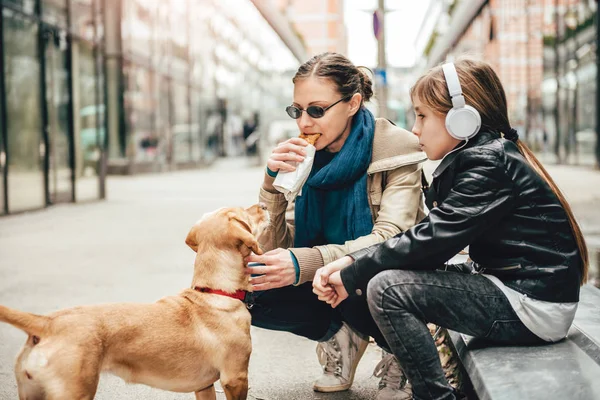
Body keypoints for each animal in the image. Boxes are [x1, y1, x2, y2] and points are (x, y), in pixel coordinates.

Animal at [0, 205, 270, 398]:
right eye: (245, 213)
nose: (265, 206)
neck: (214, 292)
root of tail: (48, 323)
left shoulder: (204, 386)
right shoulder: (235, 378)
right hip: (75, 391)